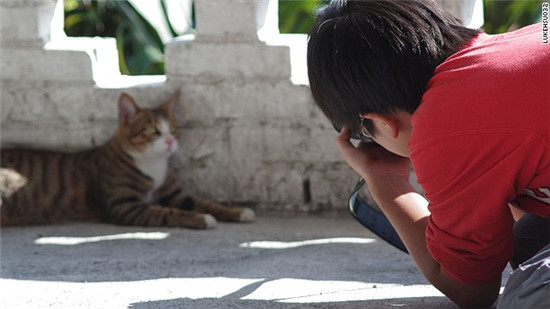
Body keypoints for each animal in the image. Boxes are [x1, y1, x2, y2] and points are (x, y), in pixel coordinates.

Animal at [0, 90, 256, 227]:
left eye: (173, 130)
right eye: (154, 131)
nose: (170, 142)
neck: (154, 165)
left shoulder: (175, 194)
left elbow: (206, 202)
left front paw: (239, 213)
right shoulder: (126, 206)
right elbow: (167, 213)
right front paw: (202, 219)